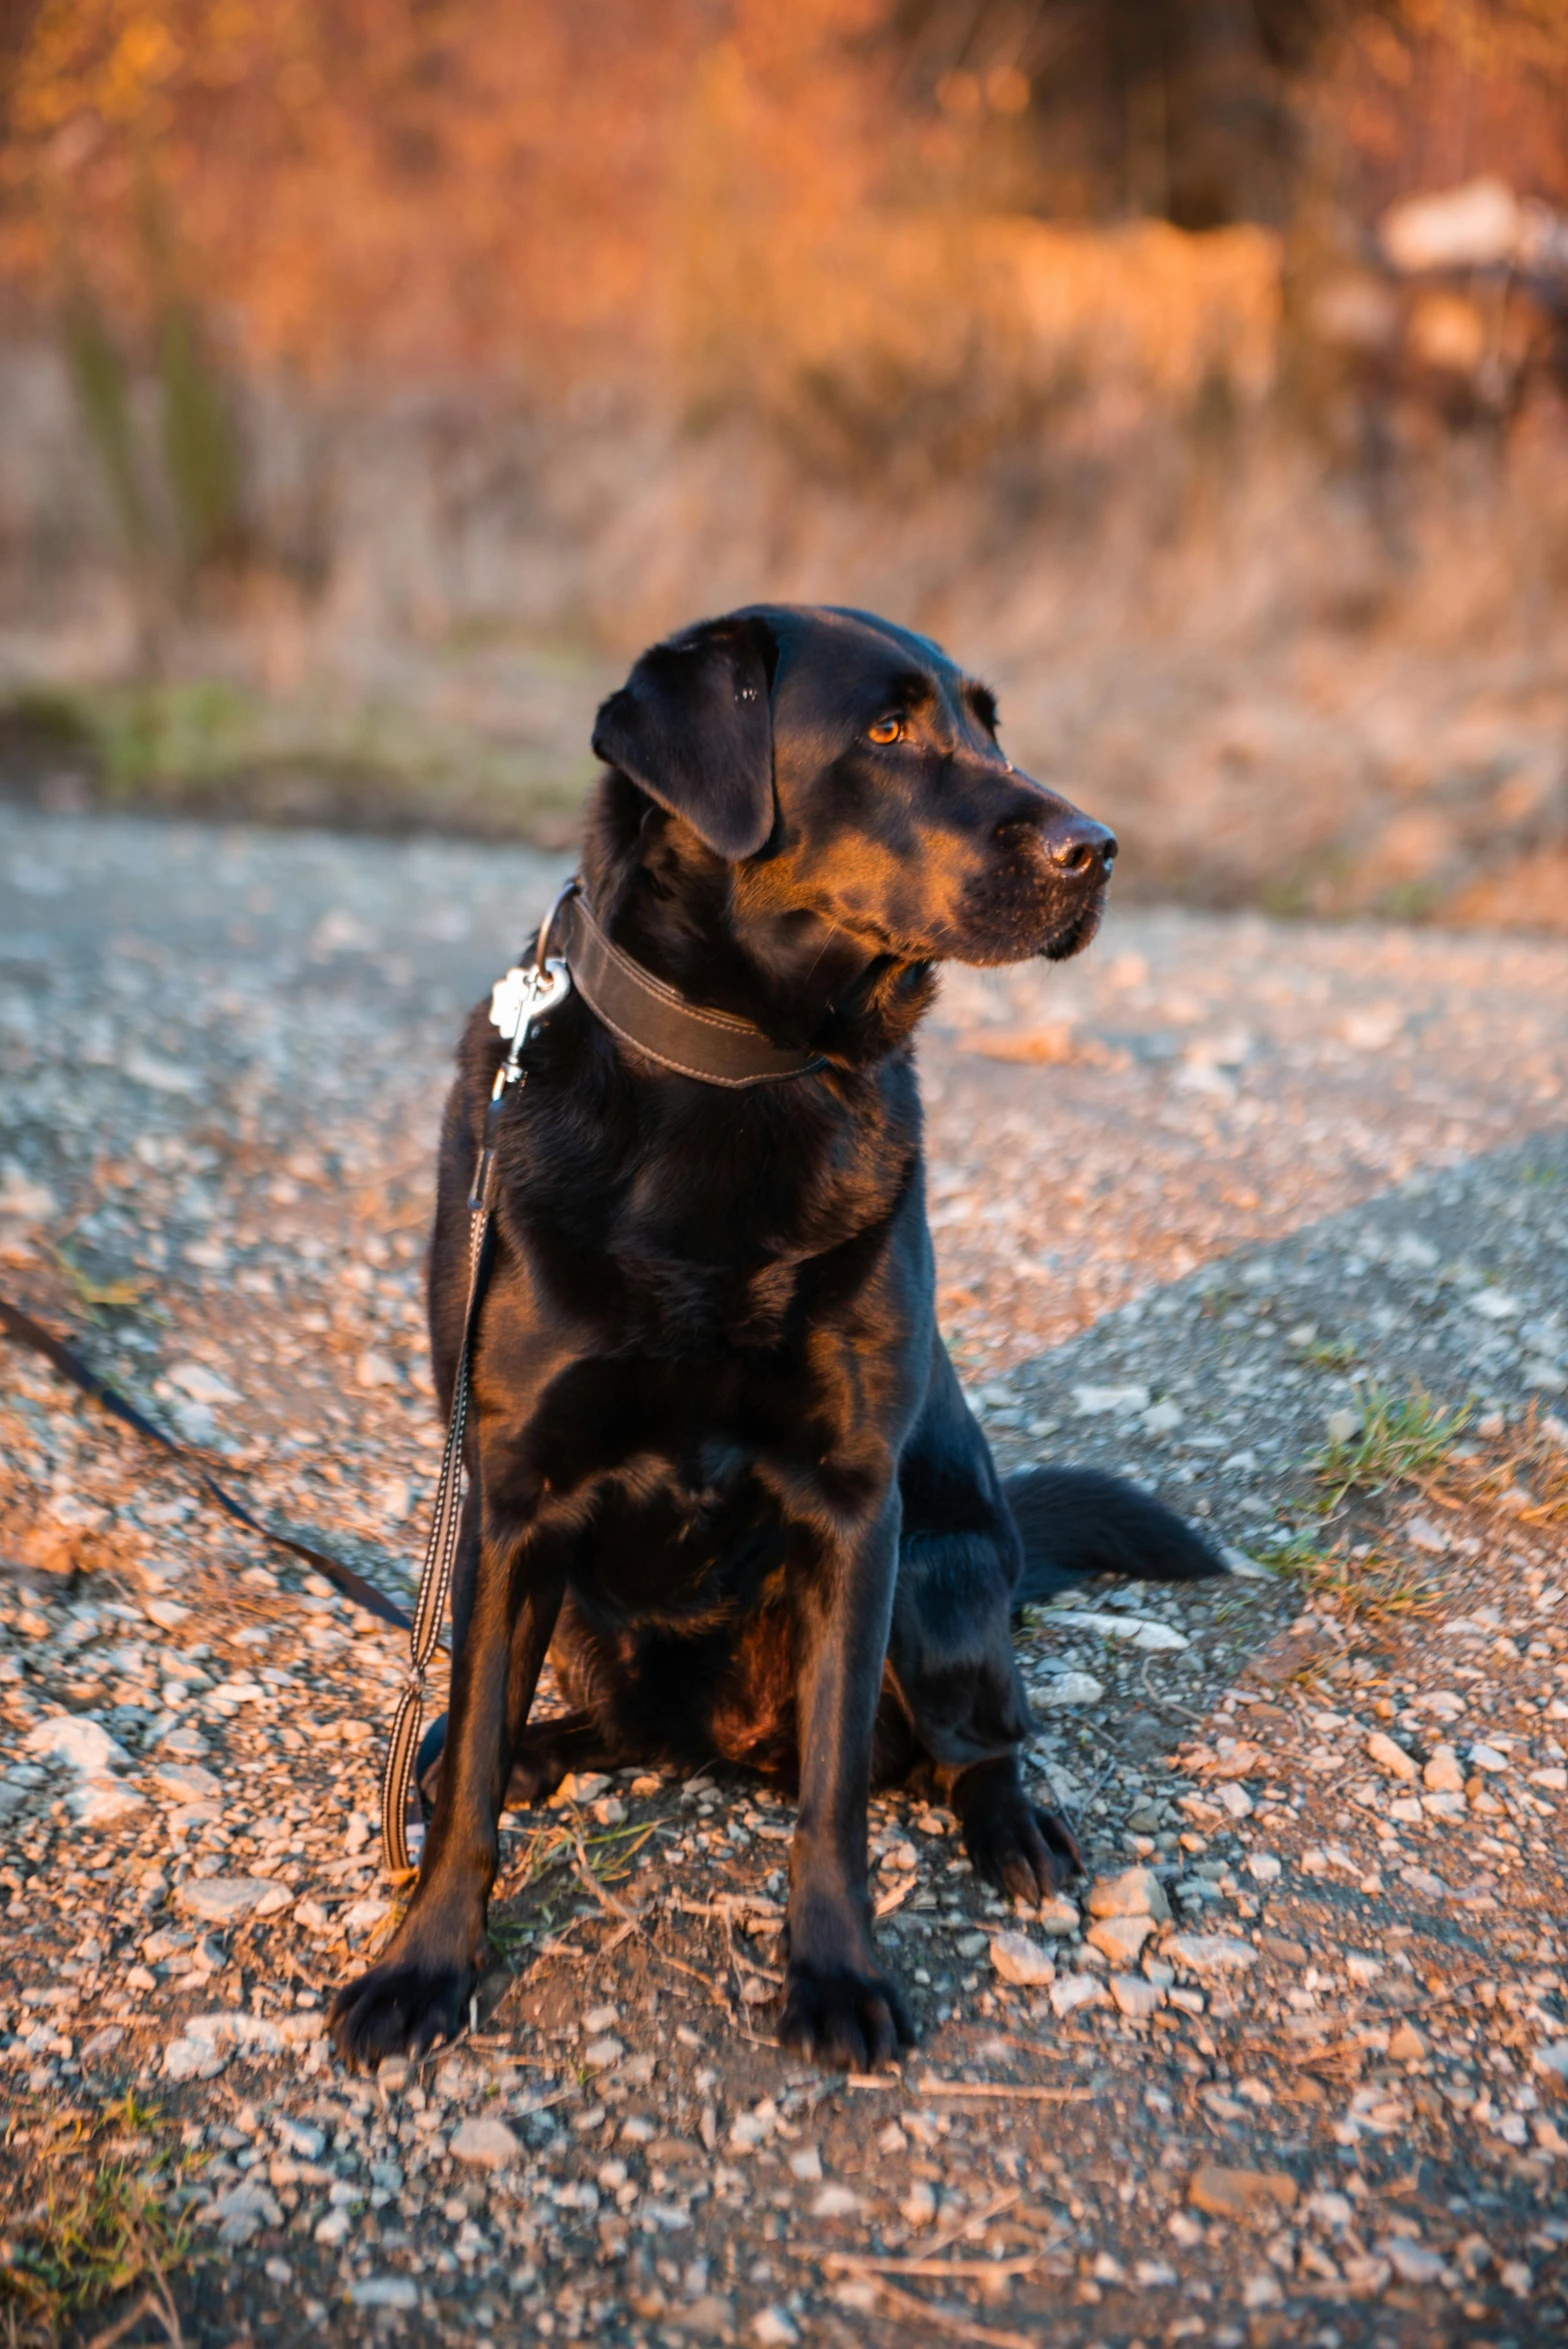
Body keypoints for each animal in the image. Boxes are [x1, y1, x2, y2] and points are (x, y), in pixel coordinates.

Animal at [330, 606, 1220, 2076]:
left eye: (990, 725)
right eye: (889, 728)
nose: (1097, 846)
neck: (734, 1067)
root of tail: (726, 1742)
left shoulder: (855, 1512)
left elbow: (835, 1794)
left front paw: (837, 1972)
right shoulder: (510, 1501)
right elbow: (463, 1802)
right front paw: (424, 1963)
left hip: (940, 1579)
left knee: (975, 1745)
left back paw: (1013, 1831)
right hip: (587, 1612)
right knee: (585, 1726)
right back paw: (513, 1743)